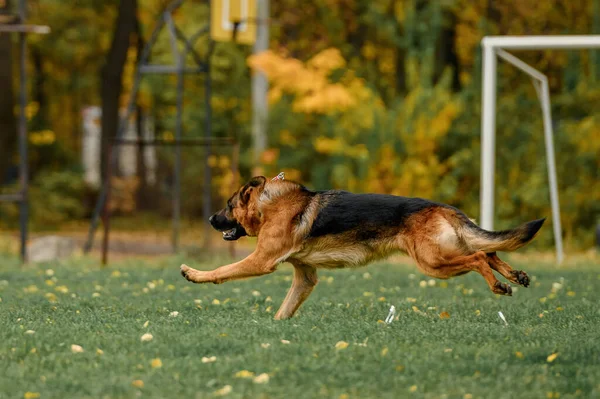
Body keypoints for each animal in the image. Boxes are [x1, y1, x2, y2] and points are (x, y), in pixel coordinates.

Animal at [179, 177, 544, 320]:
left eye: (228, 206)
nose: (210, 218)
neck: (271, 205)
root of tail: (443, 207)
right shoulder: (305, 277)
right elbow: (285, 308)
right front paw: (275, 328)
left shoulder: (261, 260)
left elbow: (222, 271)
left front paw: (194, 274)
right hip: (445, 253)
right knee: (491, 251)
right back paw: (516, 276)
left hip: (434, 263)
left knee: (480, 256)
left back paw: (499, 285)